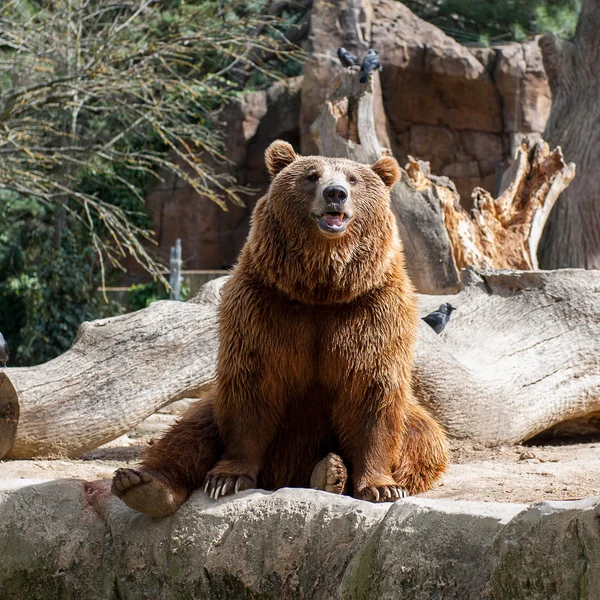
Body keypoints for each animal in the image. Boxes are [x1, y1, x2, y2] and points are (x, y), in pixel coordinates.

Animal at [113, 139, 450, 516]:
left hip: (413, 423)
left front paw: (381, 487)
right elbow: (252, 387)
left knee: (422, 438)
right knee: (191, 430)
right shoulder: (264, 307)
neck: (321, 289)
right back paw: (144, 485)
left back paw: (330, 473)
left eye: (353, 178)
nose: (335, 194)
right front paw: (227, 478)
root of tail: (286, 474)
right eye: (312, 175)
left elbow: (370, 392)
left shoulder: (370, 311)